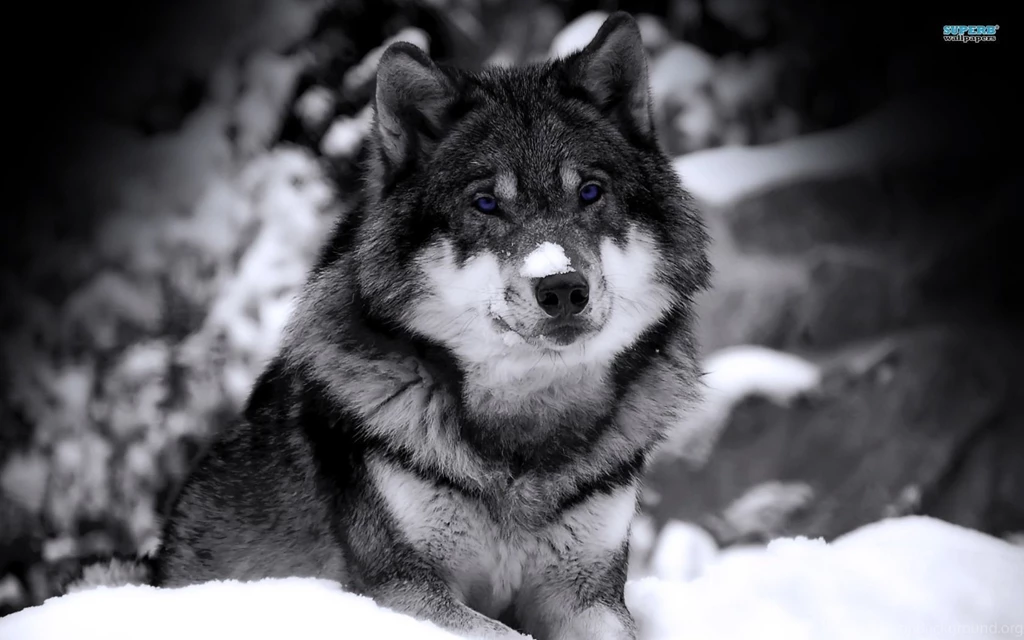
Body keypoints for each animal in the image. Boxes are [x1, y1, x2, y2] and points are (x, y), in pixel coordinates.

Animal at [71, 11, 711, 640]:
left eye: (591, 193)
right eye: (485, 204)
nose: (561, 288)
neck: (522, 435)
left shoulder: (587, 595)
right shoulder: (403, 586)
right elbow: (501, 633)